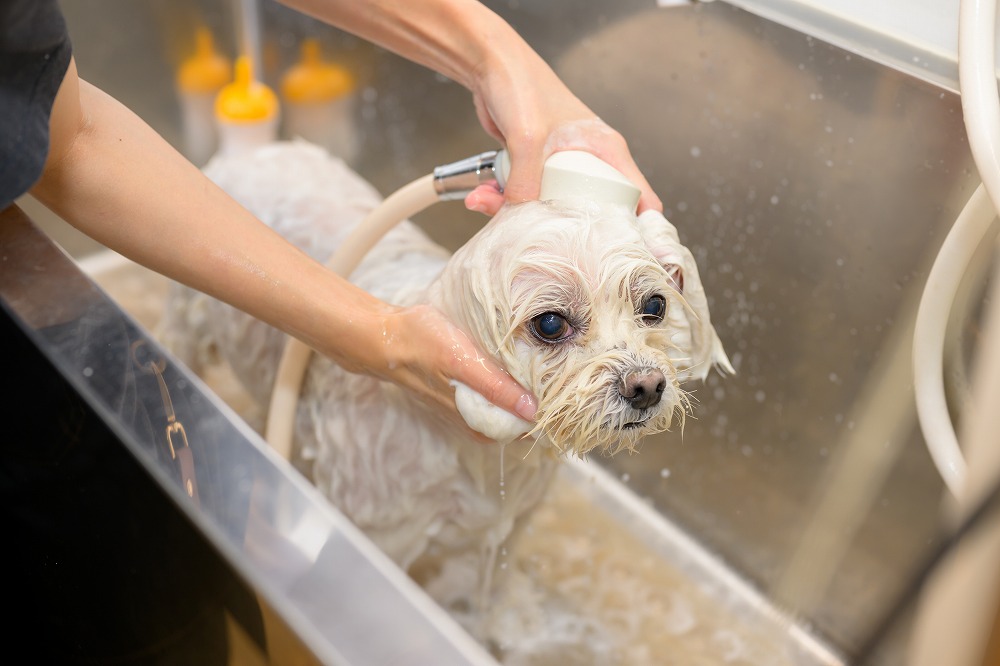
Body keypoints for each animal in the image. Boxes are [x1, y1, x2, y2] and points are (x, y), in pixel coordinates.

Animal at [160, 140, 732, 624]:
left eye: (654, 305)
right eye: (550, 323)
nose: (646, 386)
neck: (473, 450)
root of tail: (255, 149)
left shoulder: (513, 524)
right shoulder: (380, 535)